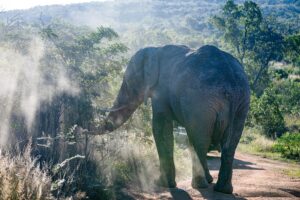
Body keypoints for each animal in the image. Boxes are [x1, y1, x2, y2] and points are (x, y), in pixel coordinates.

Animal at [88, 45, 250, 194]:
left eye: (128, 83)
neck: (155, 49)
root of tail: (231, 82)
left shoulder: (161, 90)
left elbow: (160, 127)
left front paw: (163, 184)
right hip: (241, 104)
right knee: (229, 144)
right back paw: (222, 189)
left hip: (201, 102)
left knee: (199, 140)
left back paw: (200, 185)